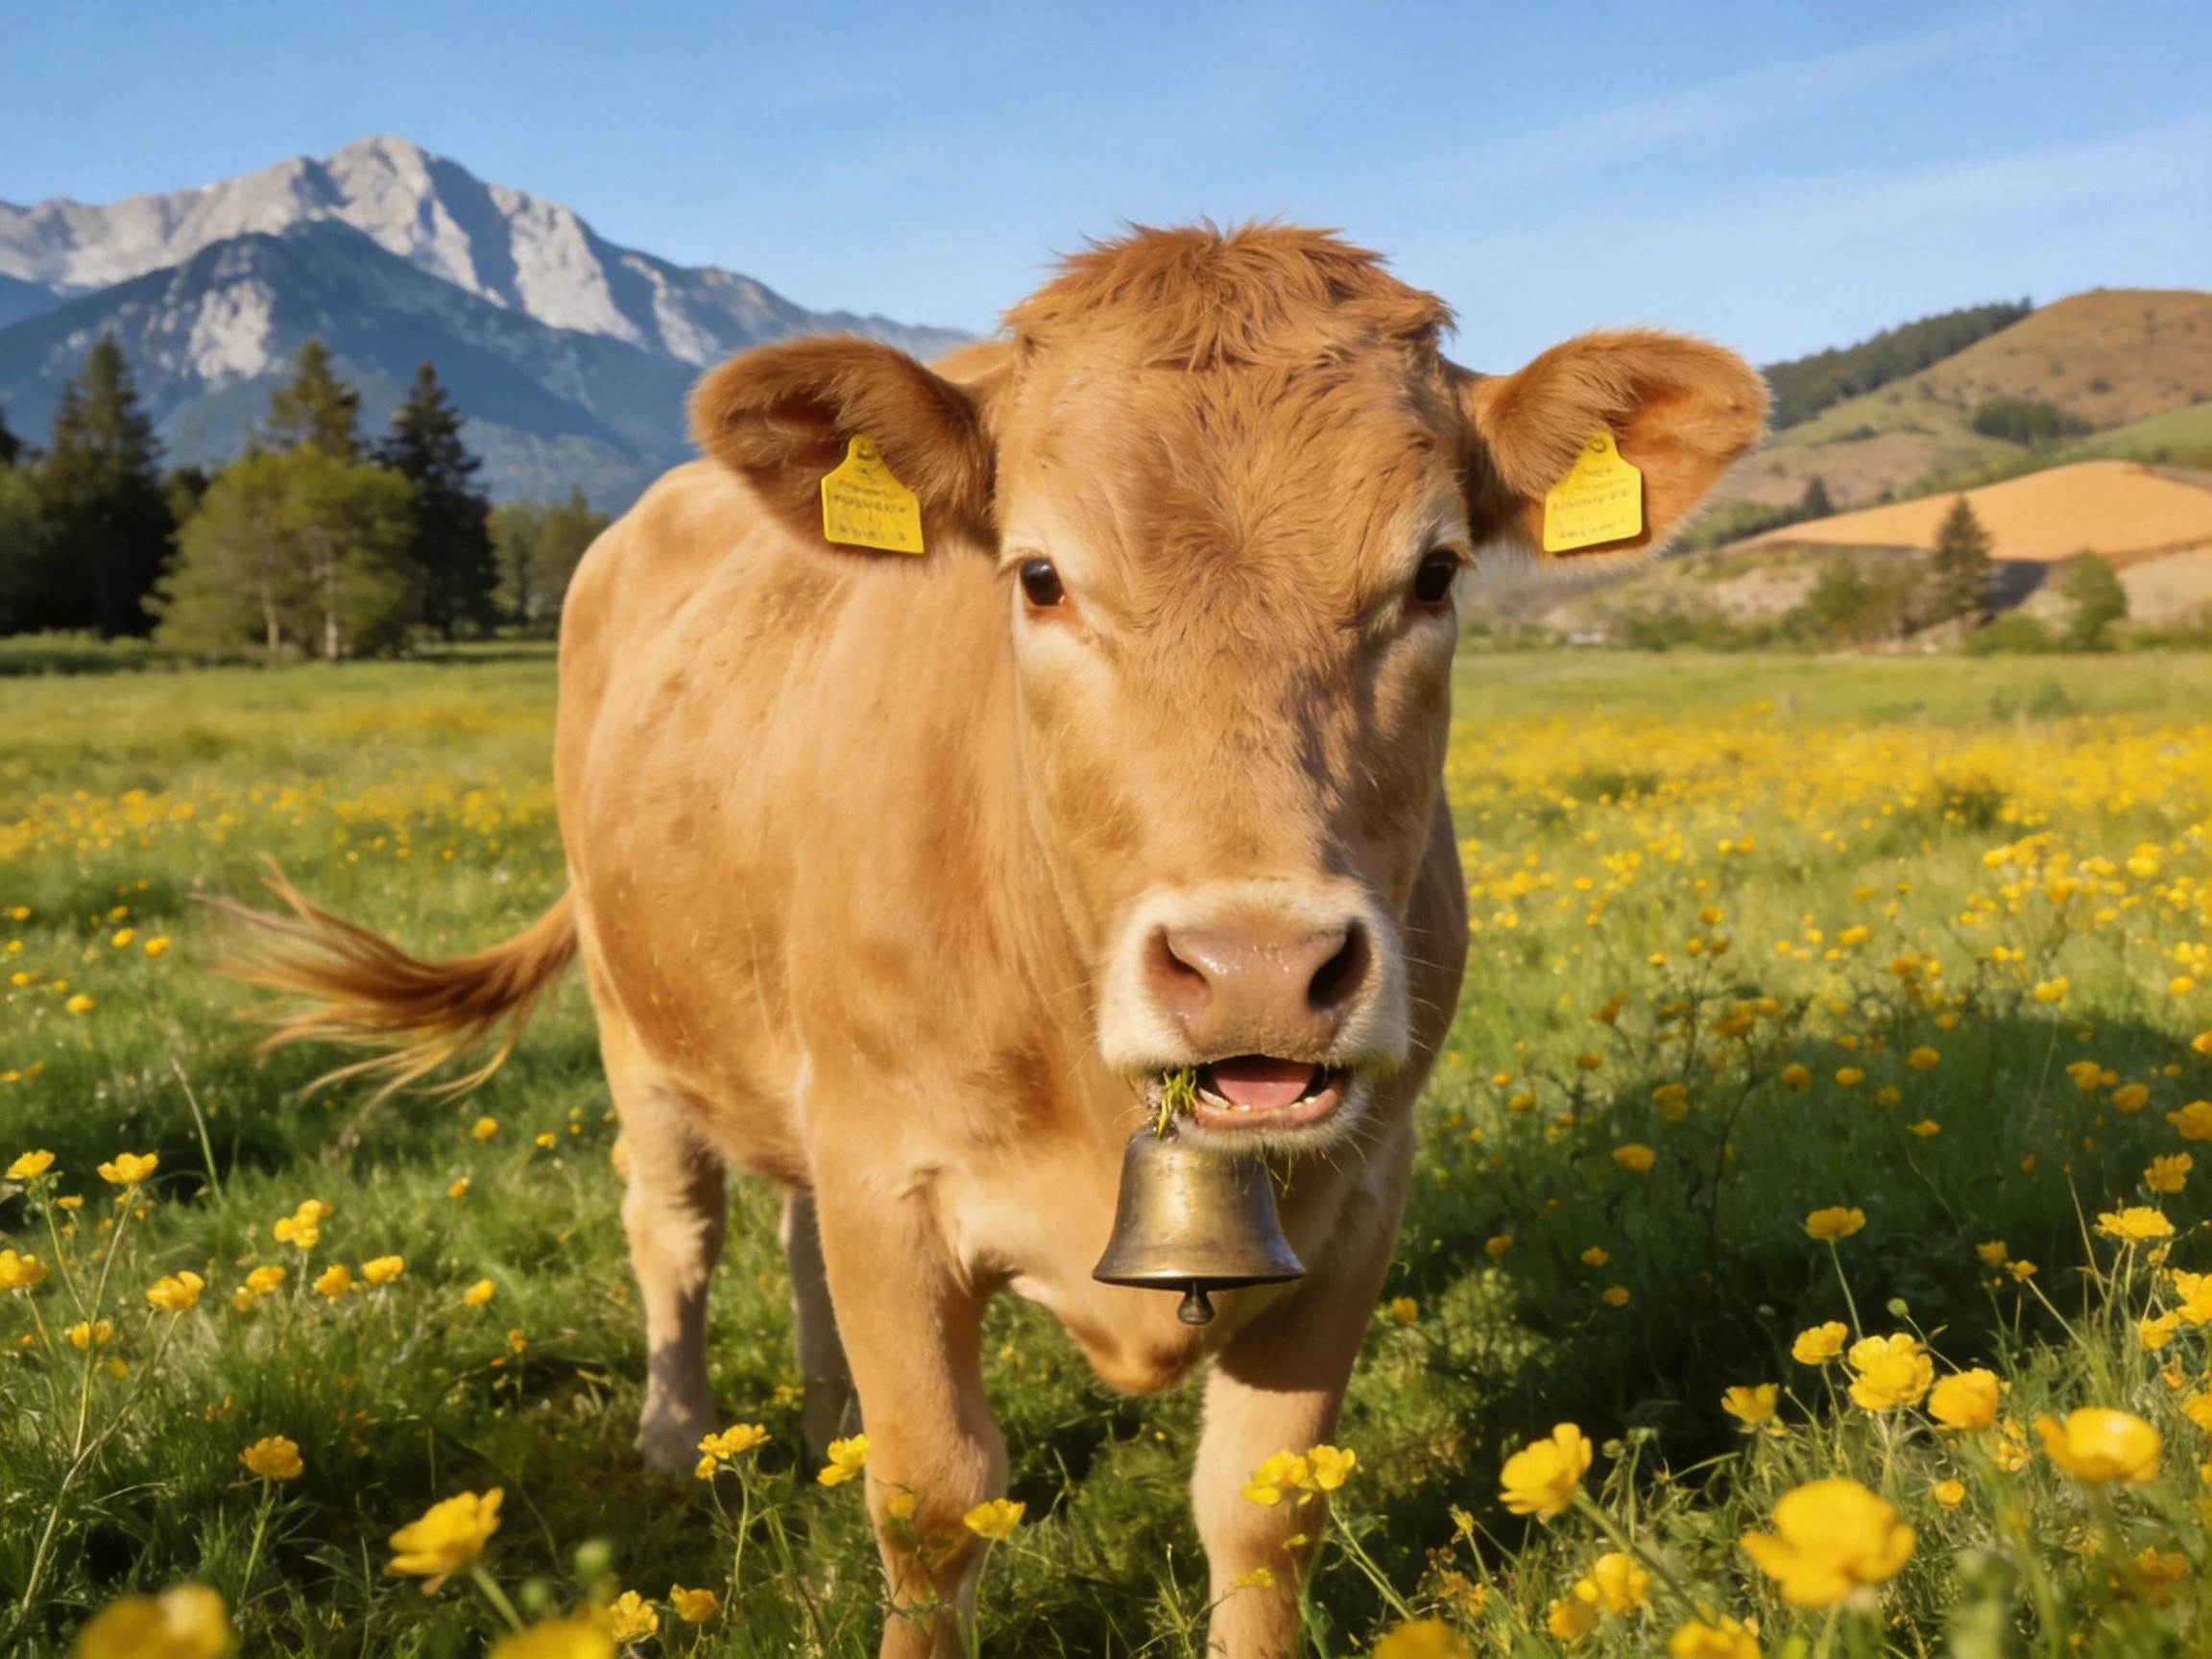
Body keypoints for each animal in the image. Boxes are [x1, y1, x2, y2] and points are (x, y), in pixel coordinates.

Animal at [225, 224, 1763, 1657]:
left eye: (1436, 573)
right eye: (1038, 576)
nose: (1258, 969)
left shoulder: (1364, 1190)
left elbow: (1263, 1505)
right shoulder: (889, 1177)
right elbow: (935, 1497)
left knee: (791, 1233)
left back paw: (820, 1412)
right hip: (634, 1018)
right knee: (676, 1227)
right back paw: (675, 1438)